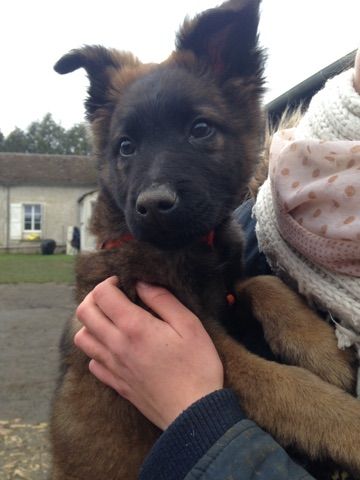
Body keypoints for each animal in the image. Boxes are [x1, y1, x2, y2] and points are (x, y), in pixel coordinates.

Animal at [50, 1, 360, 478]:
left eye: (199, 129)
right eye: (125, 147)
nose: (154, 204)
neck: (187, 249)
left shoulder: (223, 293)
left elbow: (260, 282)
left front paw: (320, 348)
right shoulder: (207, 348)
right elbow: (292, 390)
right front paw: (351, 428)